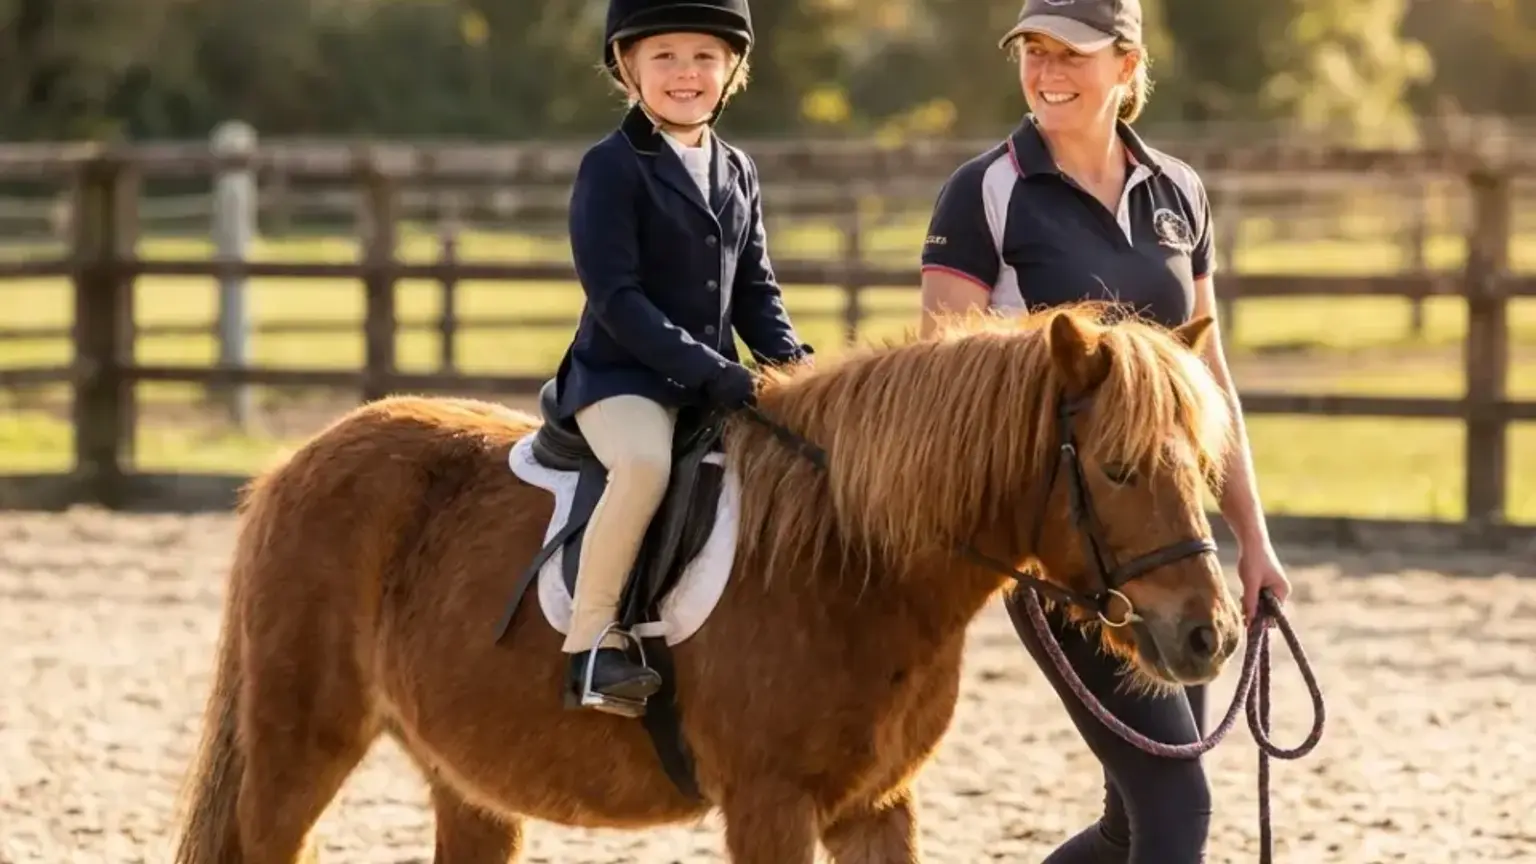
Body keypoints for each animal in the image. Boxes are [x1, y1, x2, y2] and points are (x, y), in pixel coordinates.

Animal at [169, 302, 1244, 864]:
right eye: (1117, 469)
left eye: (1202, 463)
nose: (1211, 636)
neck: (847, 558)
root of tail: (298, 463)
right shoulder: (769, 805)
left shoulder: (878, 807)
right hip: (298, 751)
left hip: (465, 782)